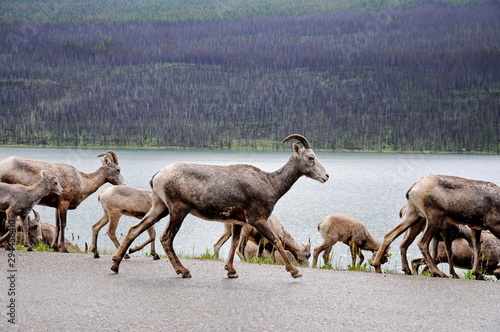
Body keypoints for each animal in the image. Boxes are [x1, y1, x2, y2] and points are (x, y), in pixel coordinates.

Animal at [110, 134, 328, 278]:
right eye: (311, 158)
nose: (326, 176)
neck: (270, 184)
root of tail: (157, 176)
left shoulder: (238, 222)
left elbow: (233, 245)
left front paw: (231, 271)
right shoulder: (257, 219)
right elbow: (276, 241)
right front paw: (295, 272)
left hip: (160, 207)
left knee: (135, 229)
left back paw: (115, 264)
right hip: (177, 210)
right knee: (166, 238)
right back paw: (183, 271)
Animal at [372, 175, 500, 278]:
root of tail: (412, 189)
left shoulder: (475, 228)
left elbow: (476, 249)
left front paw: (477, 274)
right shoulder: (493, 224)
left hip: (413, 216)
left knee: (392, 236)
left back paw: (380, 266)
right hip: (434, 217)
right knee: (422, 243)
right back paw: (438, 273)